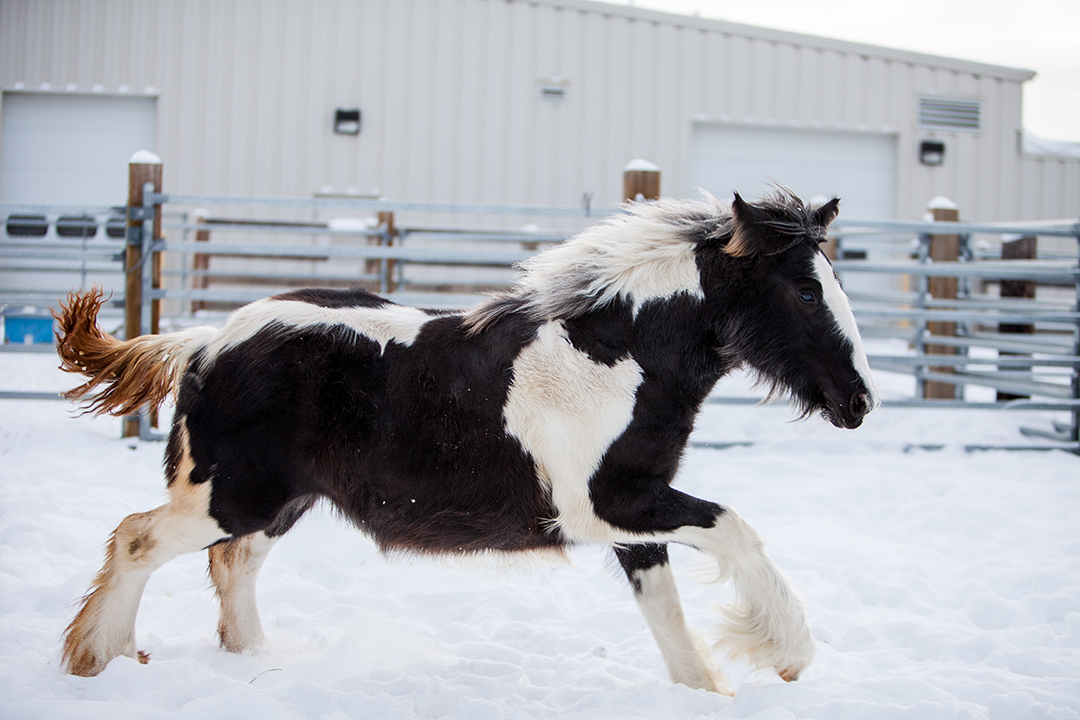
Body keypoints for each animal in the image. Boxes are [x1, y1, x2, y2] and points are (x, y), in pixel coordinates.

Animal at [52, 189, 876, 690]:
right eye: (808, 290)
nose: (860, 401)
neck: (618, 358)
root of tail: (203, 342)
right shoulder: (607, 505)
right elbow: (736, 529)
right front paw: (790, 653)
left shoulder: (633, 514)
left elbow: (669, 618)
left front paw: (709, 689)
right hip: (229, 495)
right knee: (137, 539)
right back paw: (98, 658)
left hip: (277, 502)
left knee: (232, 566)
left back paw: (253, 660)